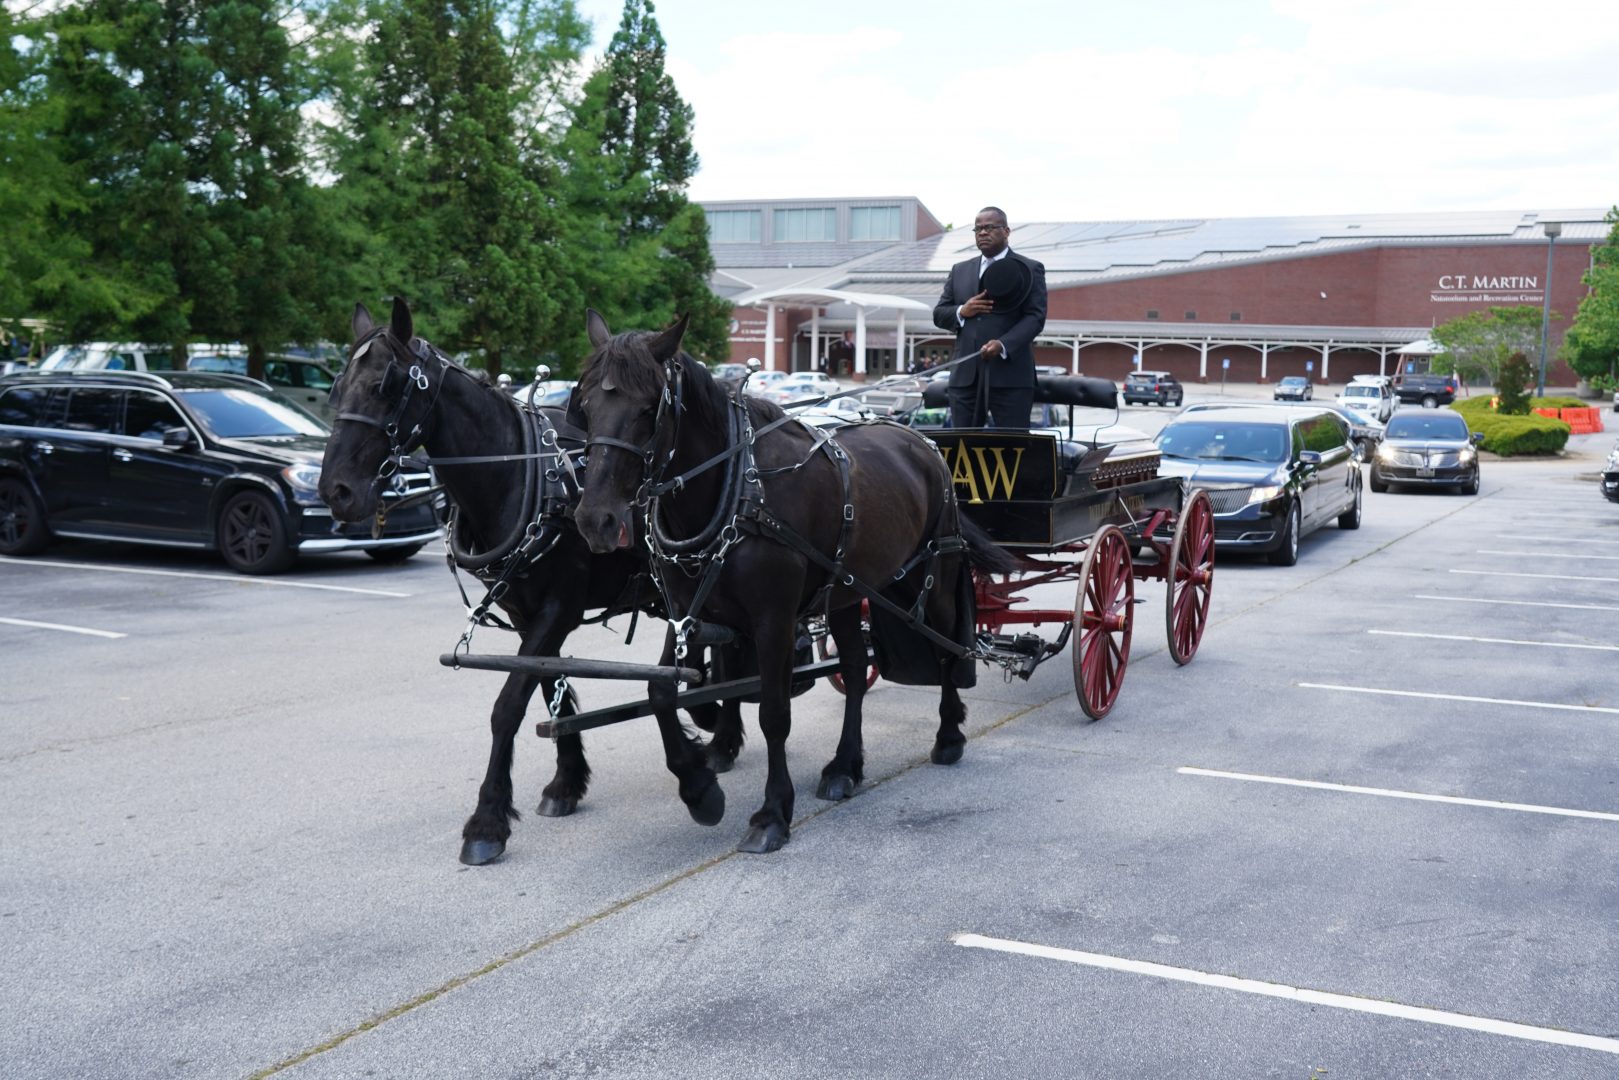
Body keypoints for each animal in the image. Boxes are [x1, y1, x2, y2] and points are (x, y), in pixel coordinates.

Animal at [315, 299, 744, 867]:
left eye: (386, 386)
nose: (336, 491)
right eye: (337, 387)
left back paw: (719, 729)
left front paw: (487, 821)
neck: (521, 479)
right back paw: (722, 732)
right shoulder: (528, 614)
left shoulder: (559, 607)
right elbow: (547, 687)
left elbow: (508, 705)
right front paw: (567, 781)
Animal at [566, 310, 1010, 854]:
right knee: (856, 667)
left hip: (936, 575)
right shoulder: (685, 612)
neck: (736, 488)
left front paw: (772, 812)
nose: (596, 520)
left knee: (949, 648)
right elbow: (661, 695)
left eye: (650, 407)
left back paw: (948, 736)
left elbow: (774, 713)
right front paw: (699, 789)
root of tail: (919, 441)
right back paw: (845, 767)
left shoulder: (773, 619)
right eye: (586, 404)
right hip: (848, 591)